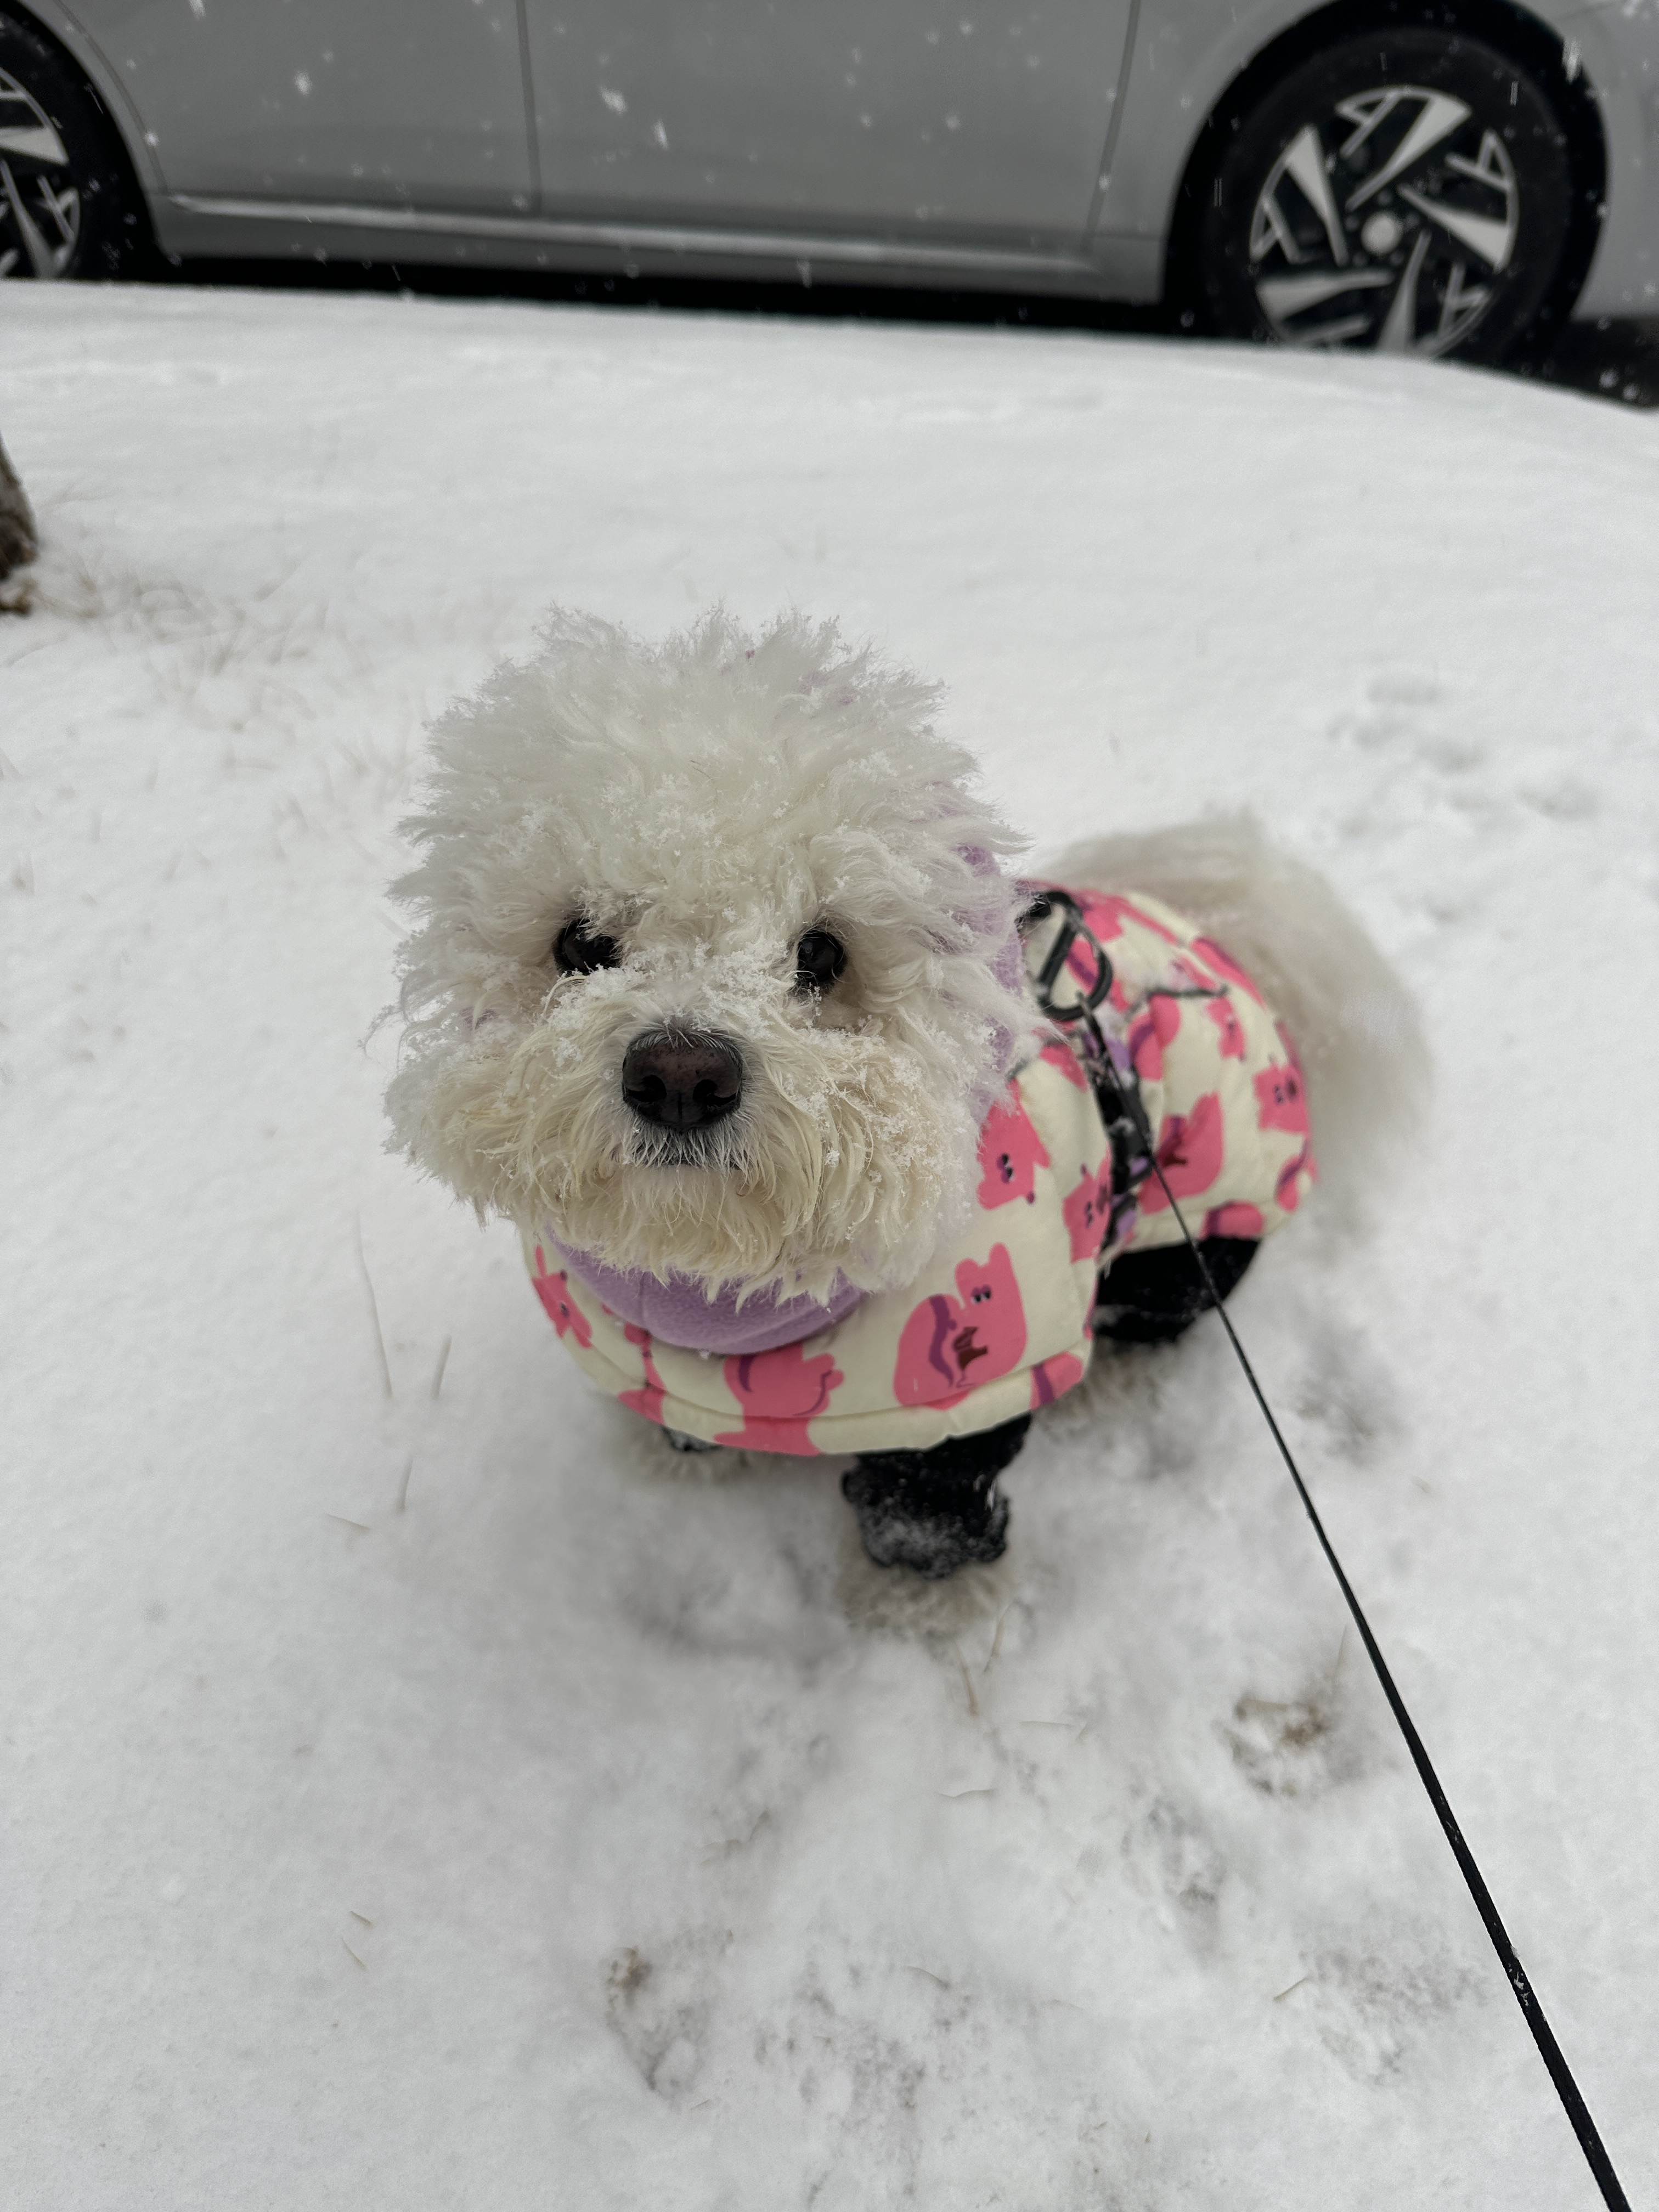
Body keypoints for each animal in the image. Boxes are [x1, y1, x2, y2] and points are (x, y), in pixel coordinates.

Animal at [387, 606, 1415, 1575]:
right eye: (580, 943)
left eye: (820, 953)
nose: (680, 1076)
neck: (732, 1300)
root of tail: (1223, 939)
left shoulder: (951, 1428)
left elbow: (922, 1539)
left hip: (1184, 1248)